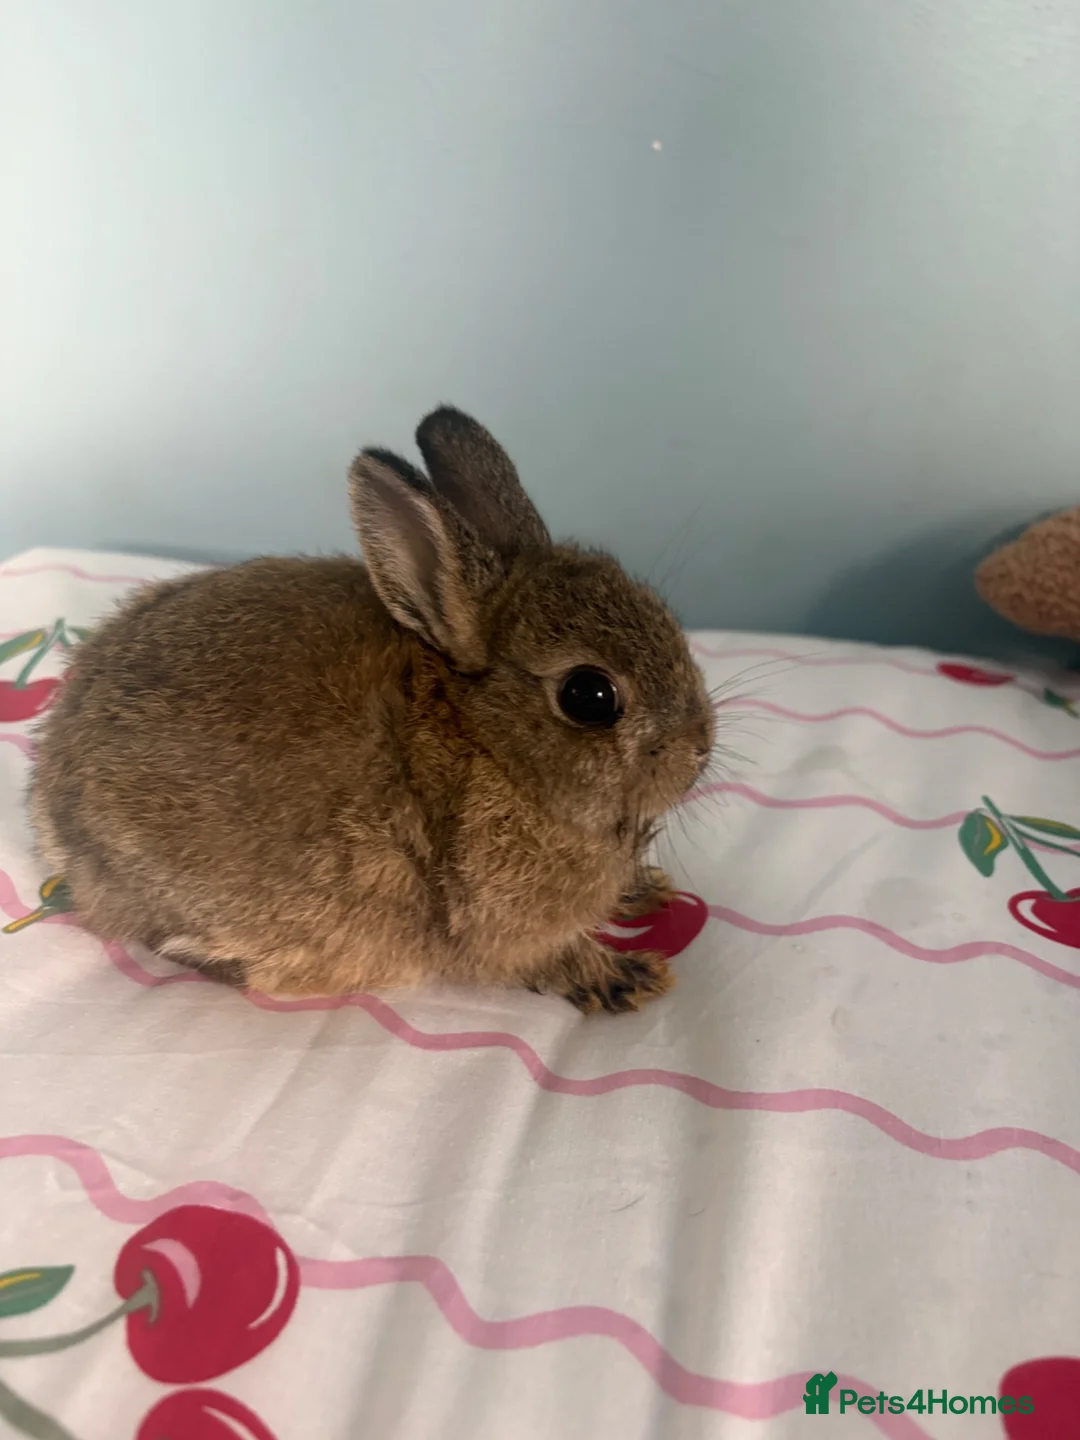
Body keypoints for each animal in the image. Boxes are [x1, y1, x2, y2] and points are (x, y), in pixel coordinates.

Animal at [28, 407, 715, 1013]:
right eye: (589, 696)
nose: (700, 750)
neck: (489, 739)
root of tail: (52, 815)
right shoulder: (503, 925)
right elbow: (552, 957)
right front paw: (624, 978)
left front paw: (644, 890)